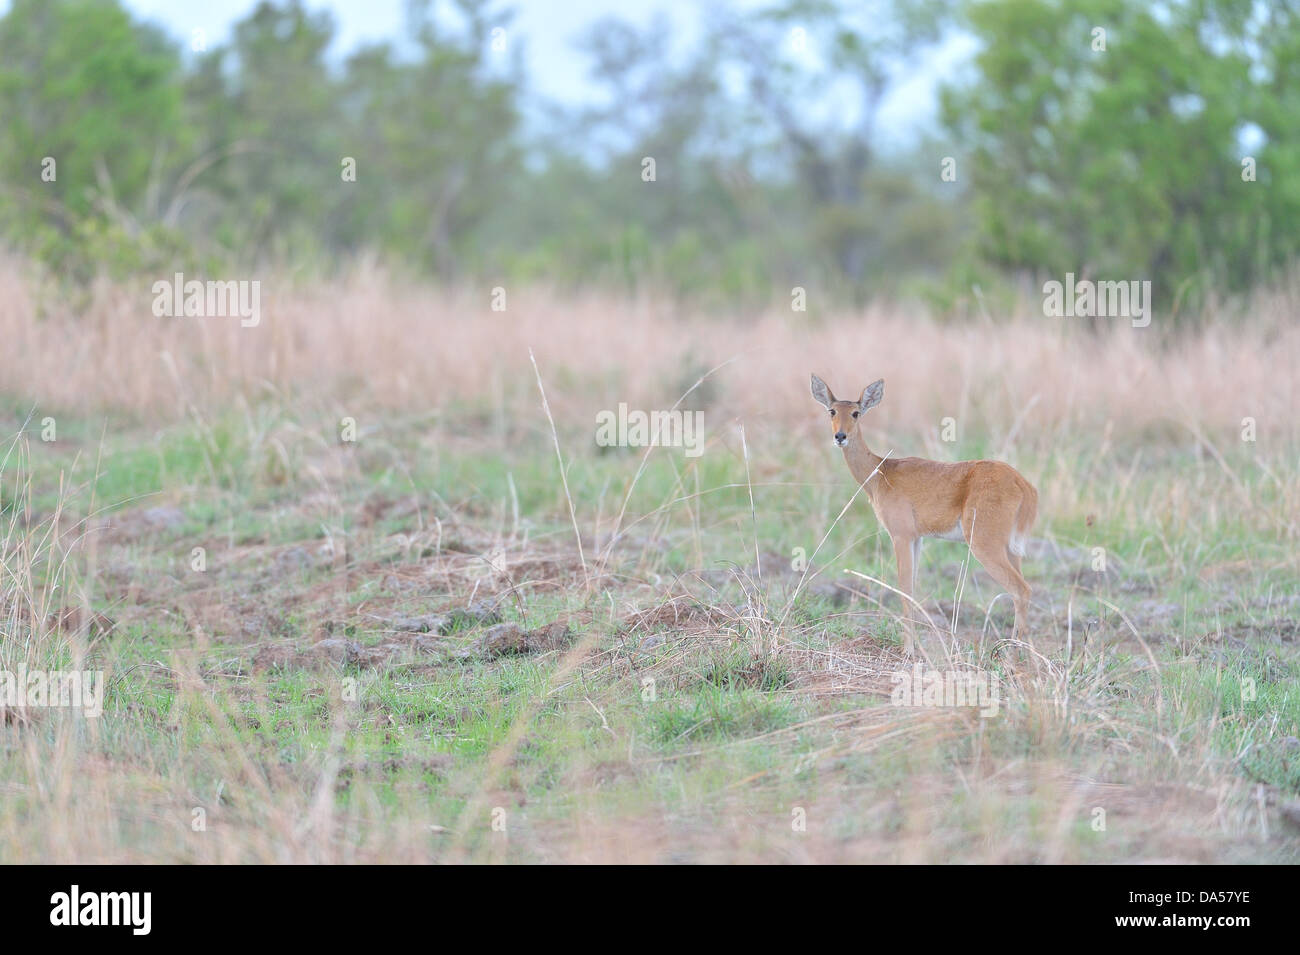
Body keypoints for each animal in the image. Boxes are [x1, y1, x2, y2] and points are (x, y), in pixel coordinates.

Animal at [806, 376, 1040, 654]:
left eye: (855, 412)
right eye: (832, 411)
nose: (840, 436)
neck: (881, 474)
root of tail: (1024, 484)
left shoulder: (901, 535)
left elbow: (904, 587)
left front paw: (908, 649)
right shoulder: (917, 538)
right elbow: (914, 588)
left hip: (985, 545)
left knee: (1022, 589)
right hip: (1012, 549)